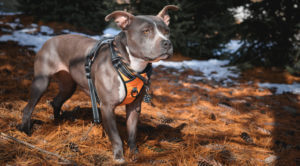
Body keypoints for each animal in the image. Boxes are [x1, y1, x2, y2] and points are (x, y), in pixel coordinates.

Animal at [18, 4, 178, 163]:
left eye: (167, 31)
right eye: (146, 31)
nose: (167, 43)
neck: (130, 65)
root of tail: (49, 40)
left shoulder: (134, 107)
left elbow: (132, 134)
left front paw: (135, 154)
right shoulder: (107, 107)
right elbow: (116, 138)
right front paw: (119, 157)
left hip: (68, 86)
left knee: (57, 101)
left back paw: (59, 122)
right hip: (42, 82)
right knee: (28, 108)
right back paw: (25, 131)